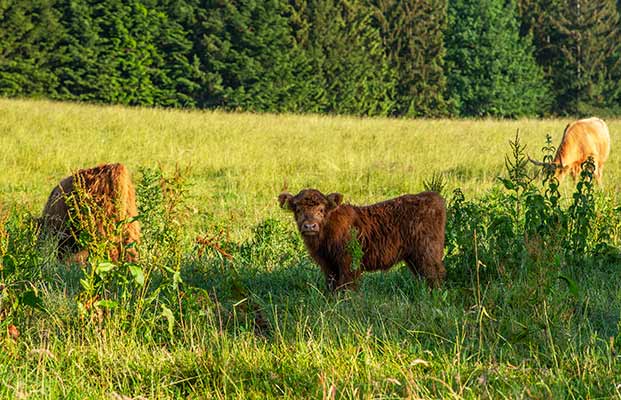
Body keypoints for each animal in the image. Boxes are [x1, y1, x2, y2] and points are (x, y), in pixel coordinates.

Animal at [278, 189, 446, 290]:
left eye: (321, 210)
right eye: (298, 209)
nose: (310, 226)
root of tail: (431, 196)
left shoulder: (349, 263)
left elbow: (346, 286)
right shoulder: (328, 265)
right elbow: (332, 286)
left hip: (427, 252)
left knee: (434, 274)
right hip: (413, 257)